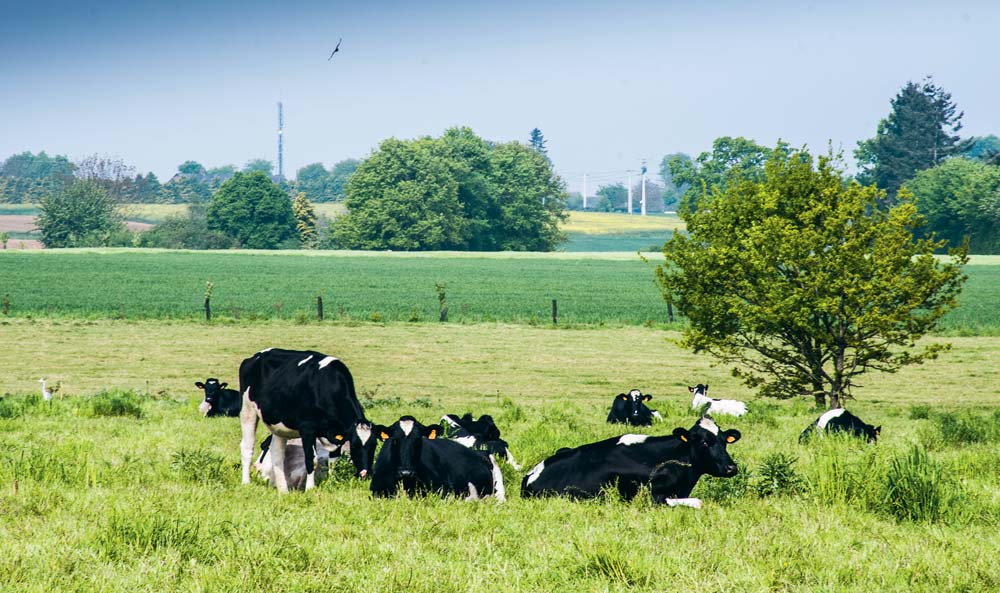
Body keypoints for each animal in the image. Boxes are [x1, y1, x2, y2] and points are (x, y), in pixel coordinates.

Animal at [520, 414, 740, 506]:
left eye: (724, 441)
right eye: (704, 442)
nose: (731, 468)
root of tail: (530, 475)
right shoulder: (652, 496)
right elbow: (698, 501)